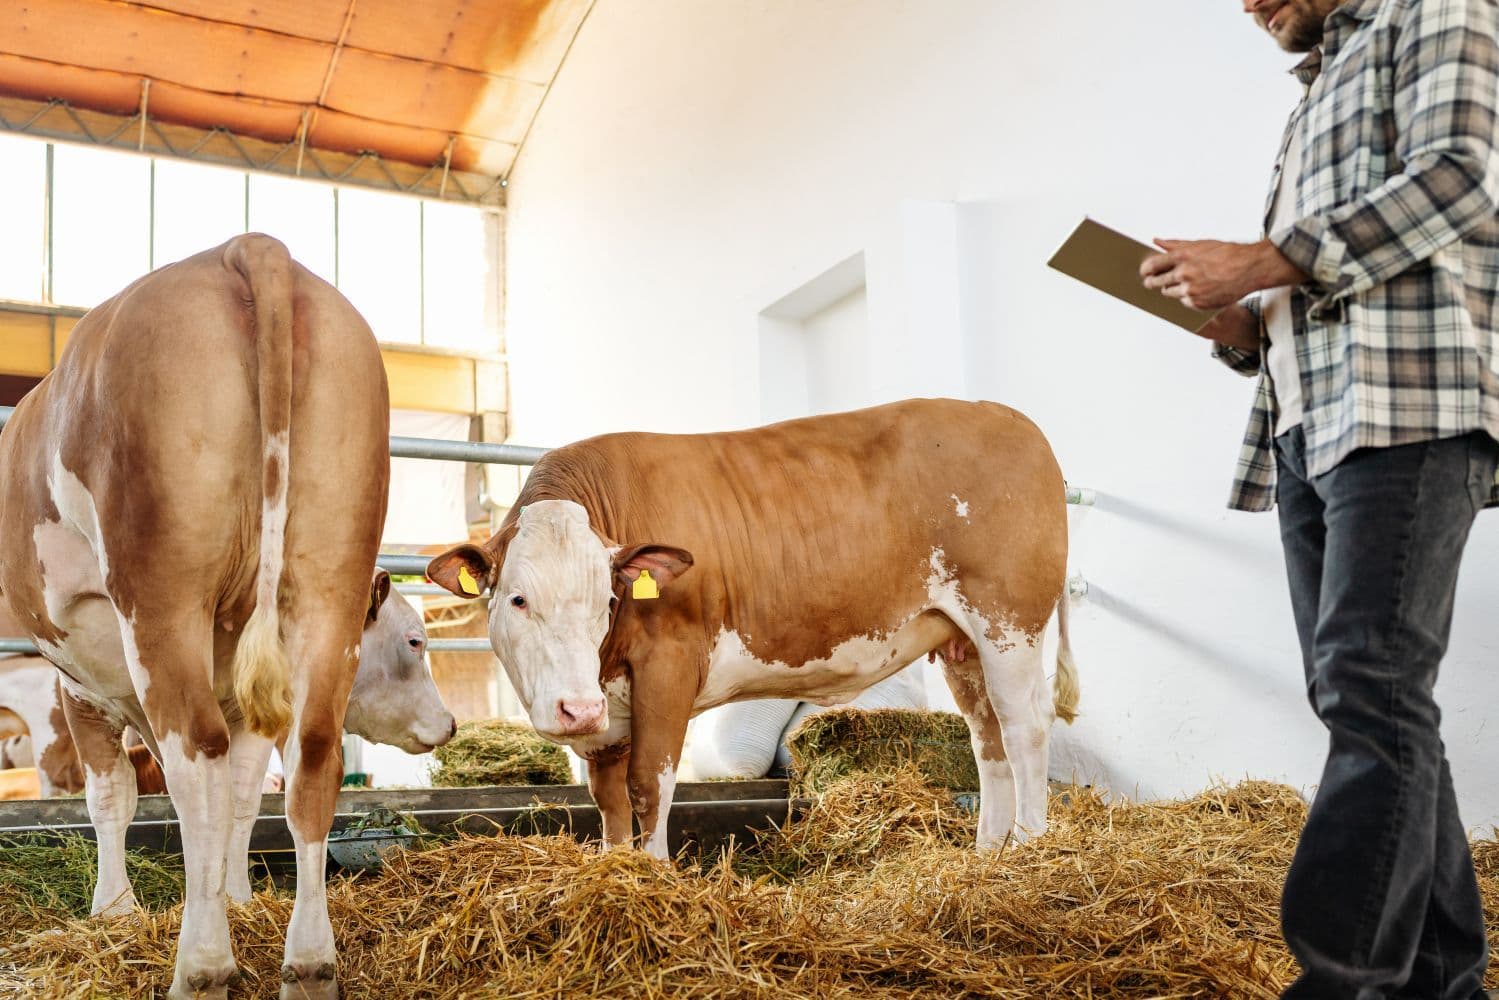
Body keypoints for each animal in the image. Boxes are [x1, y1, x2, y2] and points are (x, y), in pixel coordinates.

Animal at [0, 234, 401, 1000]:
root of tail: (248, 247)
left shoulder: (76, 682)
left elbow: (112, 795)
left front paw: (116, 910)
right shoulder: (242, 696)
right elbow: (242, 796)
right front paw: (236, 898)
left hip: (161, 592)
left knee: (195, 756)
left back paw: (202, 966)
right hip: (329, 584)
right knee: (311, 757)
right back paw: (309, 963)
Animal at [427, 398, 1078, 859]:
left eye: (606, 600)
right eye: (517, 599)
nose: (576, 709)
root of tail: (1007, 417)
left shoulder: (669, 663)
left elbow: (649, 785)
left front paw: (654, 873)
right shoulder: (607, 704)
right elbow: (608, 797)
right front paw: (617, 869)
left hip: (1009, 622)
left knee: (1024, 729)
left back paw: (1029, 850)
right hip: (962, 640)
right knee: (987, 740)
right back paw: (987, 854)